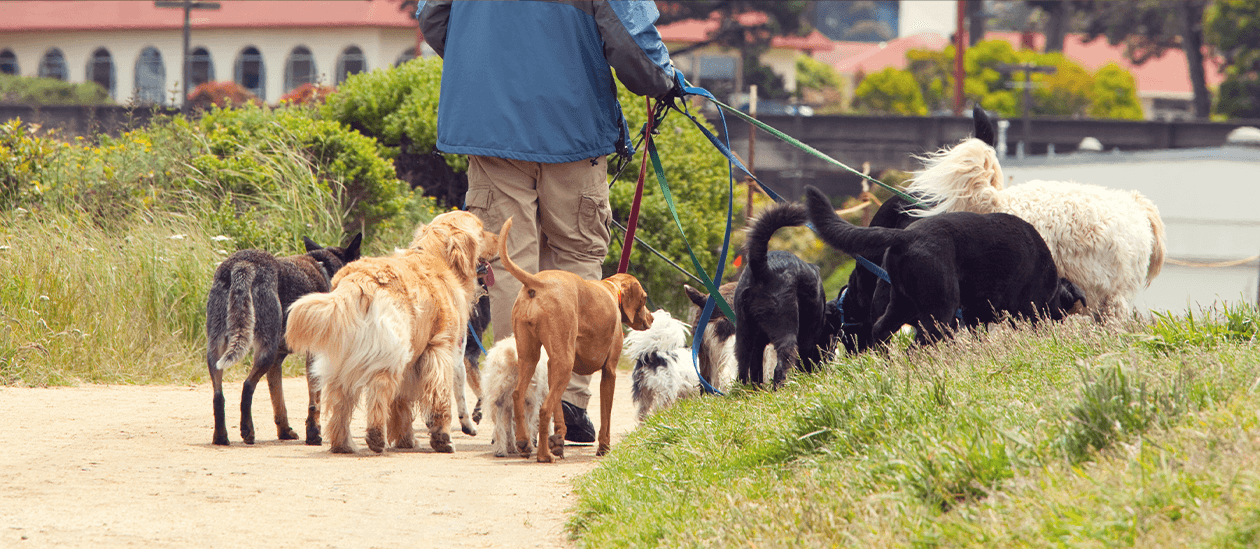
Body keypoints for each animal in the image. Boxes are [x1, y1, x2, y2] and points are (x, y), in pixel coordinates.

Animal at [201, 231, 360, 445]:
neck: (326, 268)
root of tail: (244, 263)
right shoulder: (313, 355)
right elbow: (314, 401)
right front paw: (313, 434)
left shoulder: (277, 362)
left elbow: (279, 403)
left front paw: (285, 431)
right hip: (264, 353)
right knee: (247, 386)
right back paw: (247, 431)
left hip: (217, 351)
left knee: (218, 396)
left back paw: (220, 436)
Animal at [288, 211, 498, 455]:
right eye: (482, 231)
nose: (499, 239)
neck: (435, 255)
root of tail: (358, 281)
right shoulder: (442, 351)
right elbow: (440, 396)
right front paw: (442, 438)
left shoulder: (413, 360)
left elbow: (401, 403)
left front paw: (406, 439)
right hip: (390, 353)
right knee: (378, 391)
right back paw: (376, 437)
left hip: (342, 360)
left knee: (340, 400)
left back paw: (344, 444)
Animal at [493, 216, 650, 460]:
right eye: (644, 298)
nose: (651, 318)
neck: (610, 290)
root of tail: (537, 283)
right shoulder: (609, 371)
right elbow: (606, 416)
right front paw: (604, 447)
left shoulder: (552, 366)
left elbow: (559, 412)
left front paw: (558, 439)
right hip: (564, 365)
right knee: (544, 409)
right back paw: (543, 455)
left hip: (531, 357)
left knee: (518, 394)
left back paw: (524, 442)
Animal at [806, 186, 1083, 345]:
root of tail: (906, 236)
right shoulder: (1028, 308)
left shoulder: (974, 314)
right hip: (939, 311)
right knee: (916, 346)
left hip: (903, 304)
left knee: (880, 331)